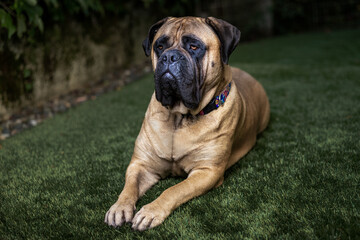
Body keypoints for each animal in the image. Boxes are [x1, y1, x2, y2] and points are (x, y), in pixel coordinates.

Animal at [104, 16, 270, 231]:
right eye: (160, 46)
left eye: (193, 46)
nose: (169, 57)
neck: (179, 118)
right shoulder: (141, 164)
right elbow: (129, 187)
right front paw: (119, 207)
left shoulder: (207, 172)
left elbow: (175, 189)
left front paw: (151, 211)